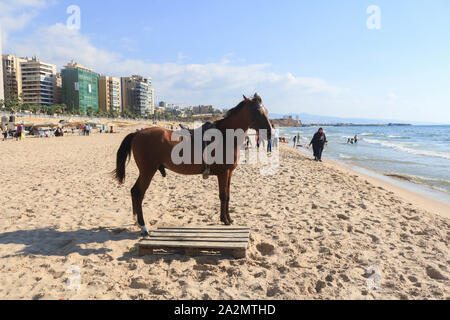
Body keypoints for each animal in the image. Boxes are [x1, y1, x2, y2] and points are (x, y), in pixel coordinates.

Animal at [114, 92, 272, 235]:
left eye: (266, 111)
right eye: (257, 111)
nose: (270, 133)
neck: (225, 136)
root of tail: (137, 133)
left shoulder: (229, 173)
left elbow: (227, 195)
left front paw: (228, 219)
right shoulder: (223, 173)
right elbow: (223, 195)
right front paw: (225, 220)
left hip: (145, 172)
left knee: (134, 191)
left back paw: (136, 221)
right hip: (147, 171)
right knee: (139, 193)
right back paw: (143, 226)